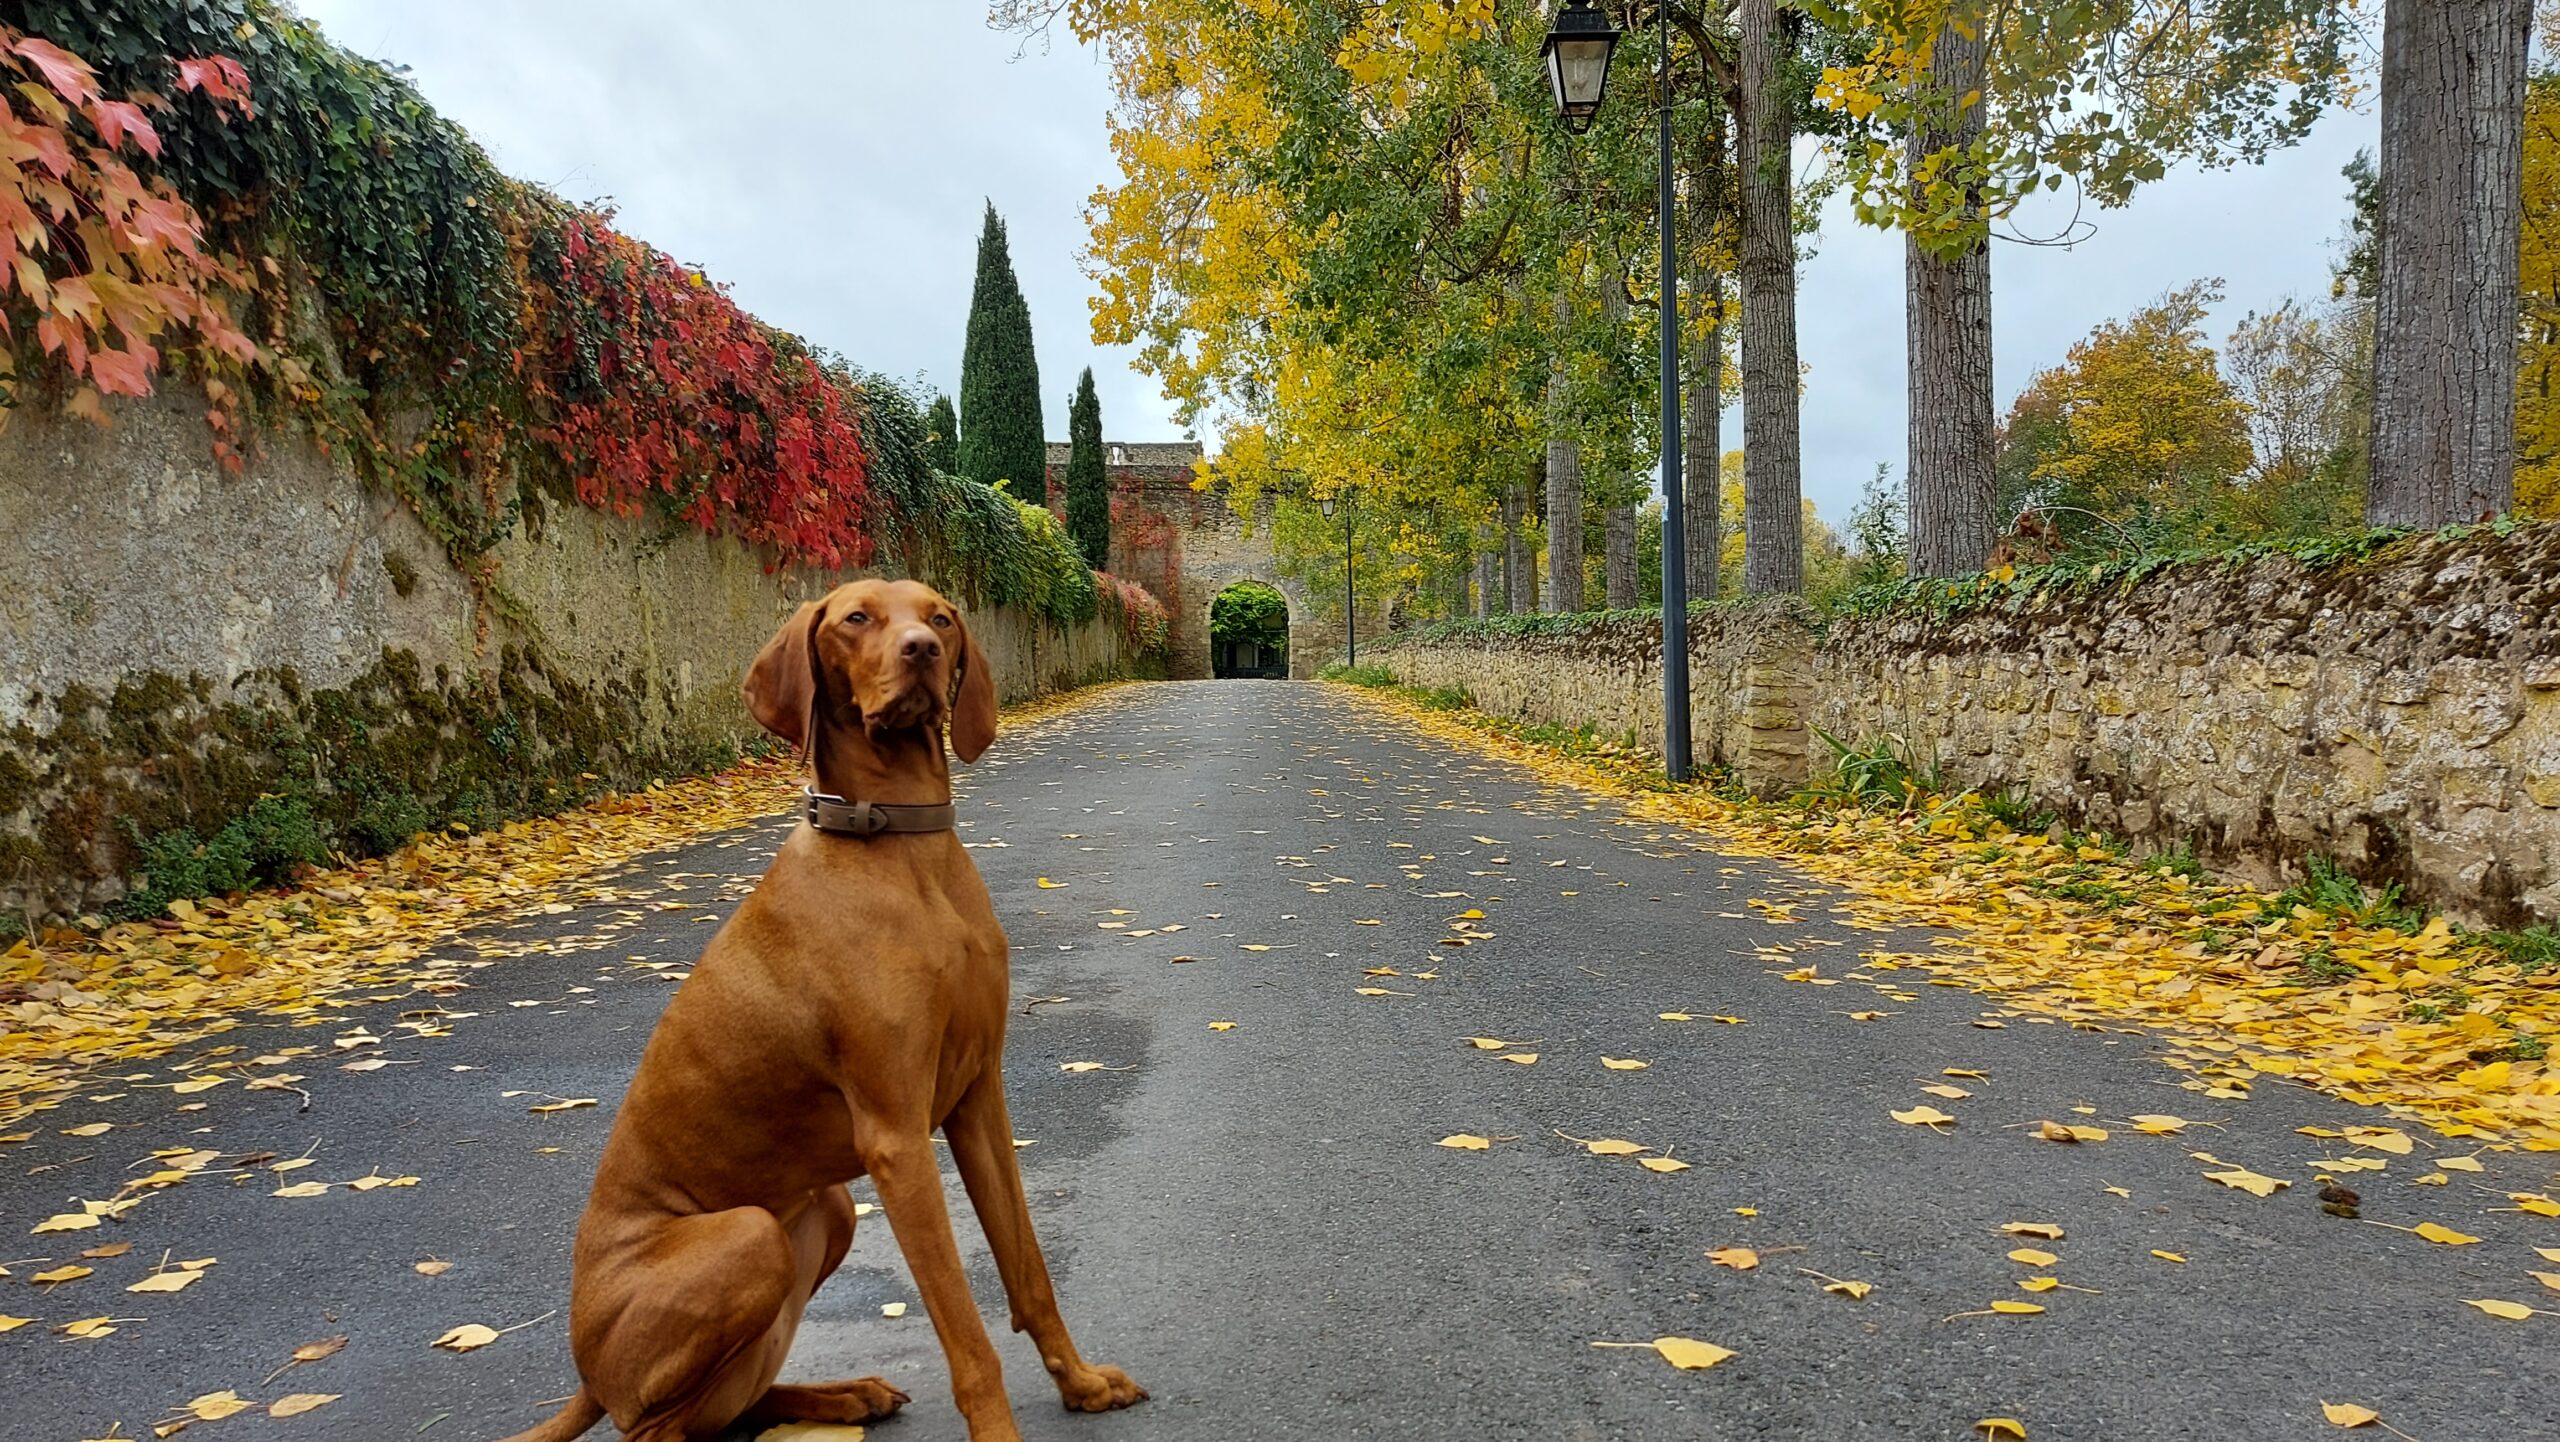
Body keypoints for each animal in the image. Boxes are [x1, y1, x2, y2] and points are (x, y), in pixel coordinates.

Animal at [499, 578, 1141, 1442]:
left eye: (940, 617)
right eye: (855, 619)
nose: (922, 651)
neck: (905, 851)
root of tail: (586, 1378)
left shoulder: (978, 1097)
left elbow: (1028, 1267)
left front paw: (1081, 1383)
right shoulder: (896, 1137)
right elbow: (967, 1335)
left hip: (827, 1209)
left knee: (725, 1408)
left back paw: (844, 1396)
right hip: (748, 1236)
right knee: (658, 1430)